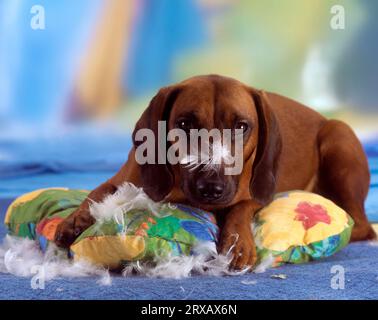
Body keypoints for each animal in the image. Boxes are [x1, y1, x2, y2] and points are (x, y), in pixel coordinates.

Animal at [54, 75, 376, 270]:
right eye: (185, 124)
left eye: (242, 126)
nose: (211, 188)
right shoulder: (120, 181)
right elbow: (96, 195)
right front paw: (74, 220)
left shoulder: (255, 192)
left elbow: (241, 206)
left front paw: (236, 241)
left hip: (338, 136)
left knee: (361, 226)